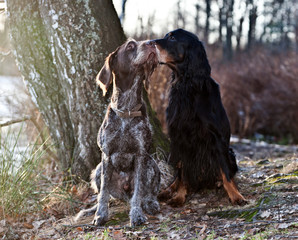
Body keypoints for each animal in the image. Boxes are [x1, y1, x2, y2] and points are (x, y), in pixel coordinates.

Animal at [76, 39, 161, 227]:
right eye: (130, 45)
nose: (152, 43)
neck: (127, 110)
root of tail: (124, 193)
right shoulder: (106, 155)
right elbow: (103, 193)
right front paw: (100, 214)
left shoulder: (140, 154)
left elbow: (139, 192)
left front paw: (136, 215)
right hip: (98, 169)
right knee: (107, 193)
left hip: (152, 164)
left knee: (147, 193)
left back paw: (150, 203)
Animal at [151, 28, 247, 206]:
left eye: (172, 38)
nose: (149, 43)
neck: (187, 85)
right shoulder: (179, 137)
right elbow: (183, 172)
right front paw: (179, 196)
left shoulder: (216, 138)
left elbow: (225, 172)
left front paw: (236, 195)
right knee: (178, 174)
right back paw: (168, 190)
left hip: (230, 153)